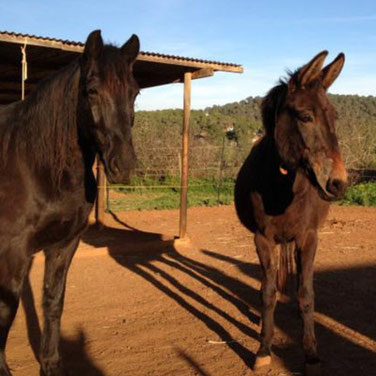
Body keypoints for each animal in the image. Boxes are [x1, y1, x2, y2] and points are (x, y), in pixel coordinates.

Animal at [0, 30, 140, 376]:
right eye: (91, 90)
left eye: (135, 93)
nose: (124, 165)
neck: (35, 166)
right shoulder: (13, 252)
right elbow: (5, 313)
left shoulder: (64, 244)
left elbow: (53, 302)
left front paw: (51, 364)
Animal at [236, 51, 348, 374]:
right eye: (305, 116)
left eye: (334, 116)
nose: (338, 183)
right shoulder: (262, 239)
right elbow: (267, 292)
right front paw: (263, 349)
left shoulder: (308, 238)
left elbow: (306, 294)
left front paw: (310, 353)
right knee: (269, 284)